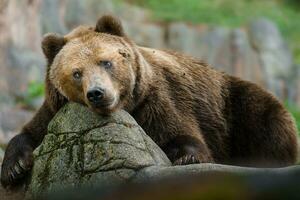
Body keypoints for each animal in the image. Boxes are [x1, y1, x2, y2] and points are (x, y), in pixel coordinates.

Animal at [0, 15, 298, 188]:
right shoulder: (55, 110)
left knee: (268, 120)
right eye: (76, 72)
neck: (127, 107)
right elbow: (30, 132)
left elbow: (181, 133)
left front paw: (187, 156)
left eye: (106, 62)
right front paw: (14, 168)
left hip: (231, 103)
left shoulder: (157, 101)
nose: (97, 93)